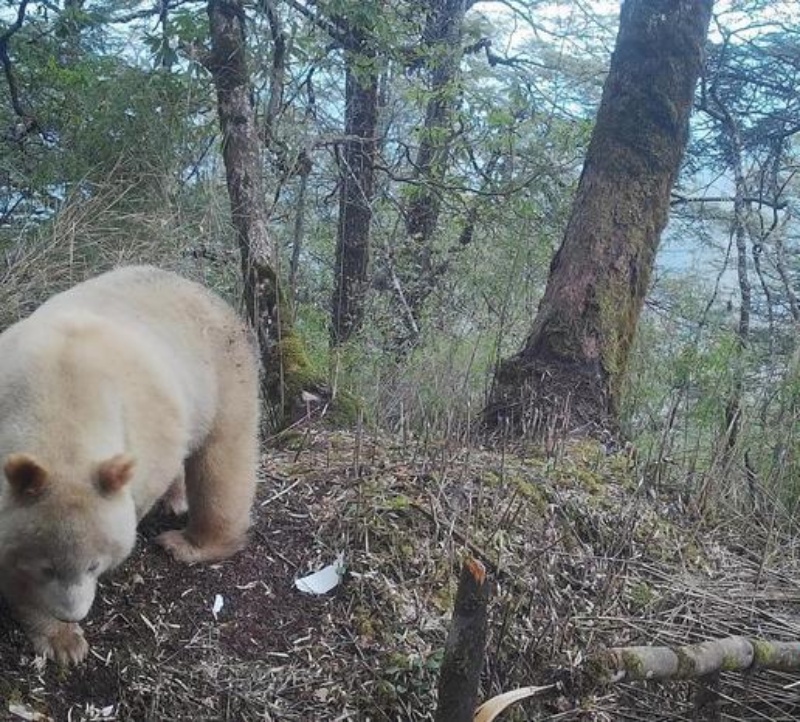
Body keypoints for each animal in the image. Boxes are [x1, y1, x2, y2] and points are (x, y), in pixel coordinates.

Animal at [0, 265, 260, 664]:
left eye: (95, 564)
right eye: (47, 567)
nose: (72, 613)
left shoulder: (143, 437)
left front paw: (65, 639)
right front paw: (62, 639)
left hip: (221, 373)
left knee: (223, 459)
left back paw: (188, 542)